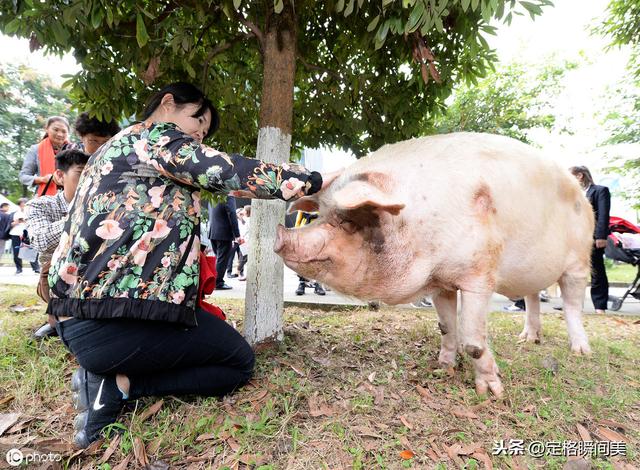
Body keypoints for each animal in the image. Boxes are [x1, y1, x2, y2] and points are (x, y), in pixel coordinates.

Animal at [276, 132, 596, 396]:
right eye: (321, 215)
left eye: (348, 221)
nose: (280, 234)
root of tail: (581, 194)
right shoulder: (440, 282)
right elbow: (446, 327)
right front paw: (443, 368)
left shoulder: (480, 274)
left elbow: (473, 340)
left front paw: (492, 392)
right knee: (532, 298)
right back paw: (528, 341)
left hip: (580, 260)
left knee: (572, 305)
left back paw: (581, 351)